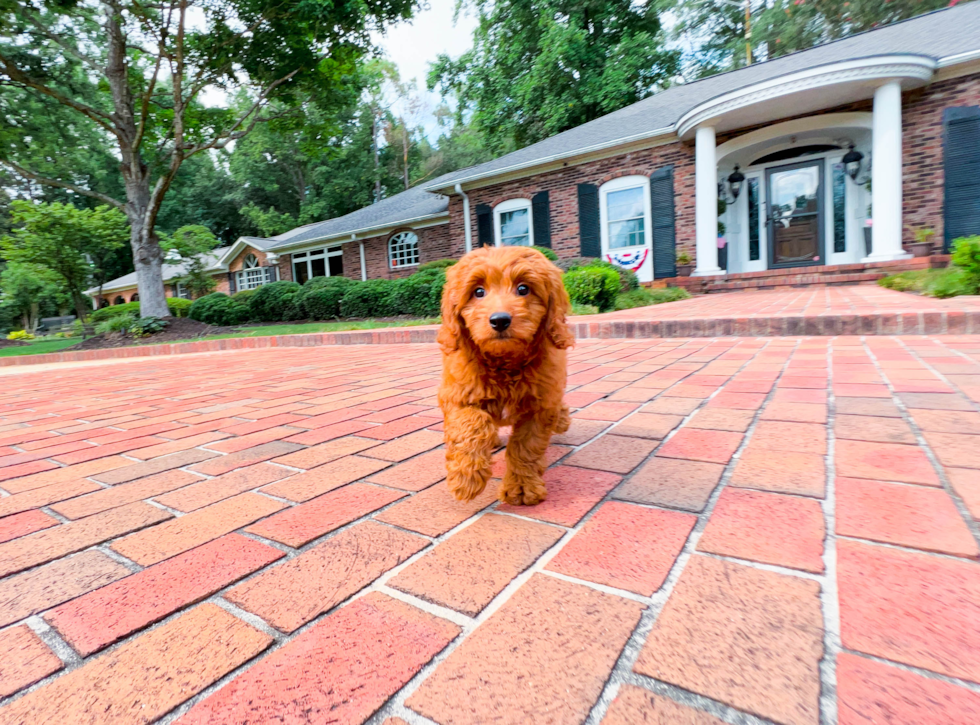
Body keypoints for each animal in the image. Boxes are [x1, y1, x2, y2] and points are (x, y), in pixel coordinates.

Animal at [438, 245, 572, 504]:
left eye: (523, 289)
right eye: (478, 292)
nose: (500, 320)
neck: (504, 361)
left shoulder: (539, 408)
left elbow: (526, 447)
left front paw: (522, 487)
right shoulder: (456, 395)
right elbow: (472, 422)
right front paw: (466, 477)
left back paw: (562, 419)